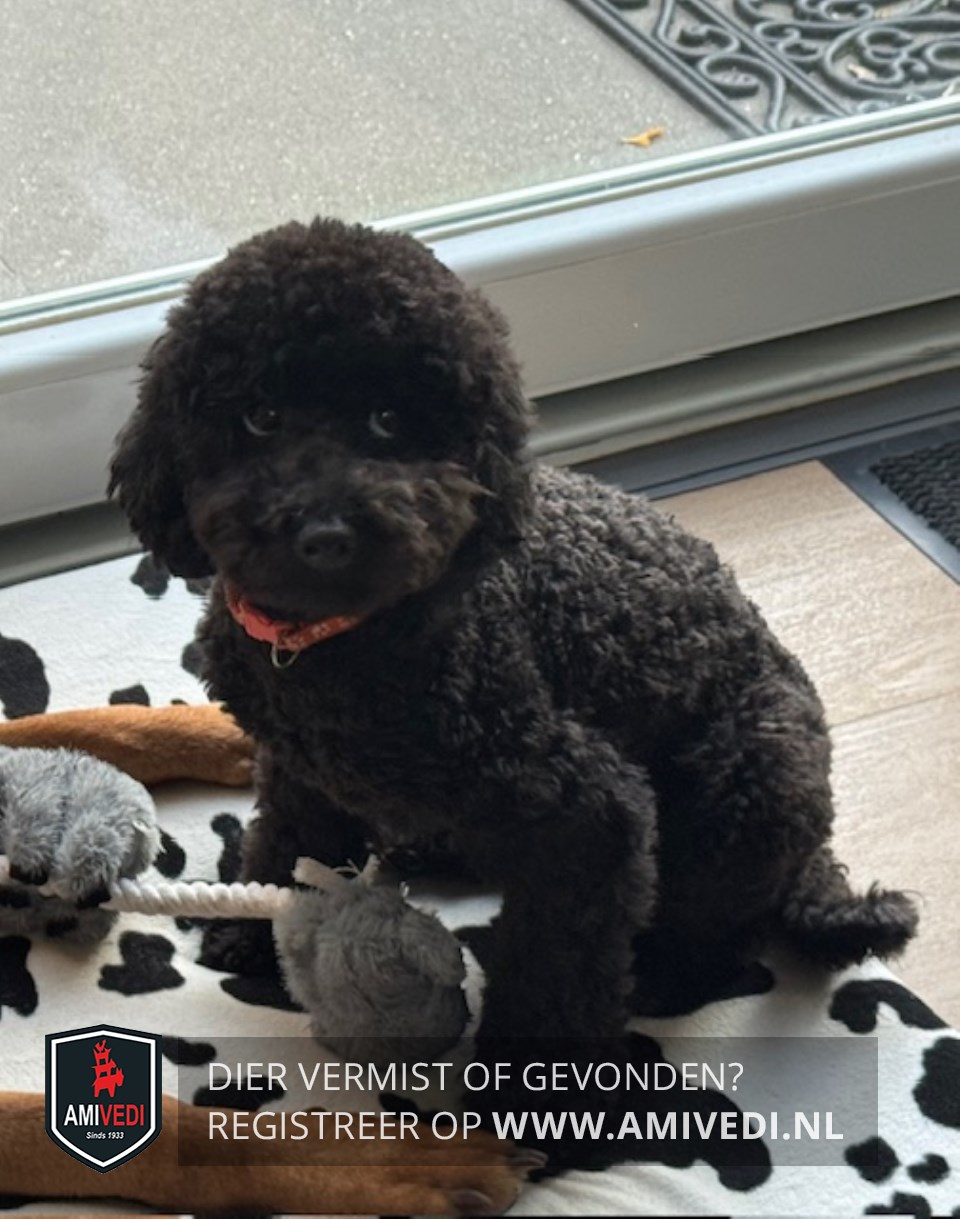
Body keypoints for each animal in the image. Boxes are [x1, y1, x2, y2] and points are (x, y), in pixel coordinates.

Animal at [110, 217, 917, 1158]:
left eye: (391, 418)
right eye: (259, 415)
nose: (326, 533)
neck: (338, 647)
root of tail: (818, 857)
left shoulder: (591, 818)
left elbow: (558, 968)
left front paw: (538, 1097)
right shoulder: (298, 765)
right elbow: (286, 840)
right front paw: (250, 926)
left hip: (752, 779)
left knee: (721, 924)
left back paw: (664, 972)